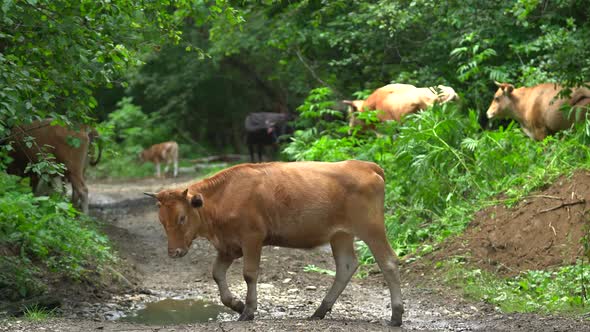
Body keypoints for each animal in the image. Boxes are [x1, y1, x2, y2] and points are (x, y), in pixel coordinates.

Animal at [147, 161, 408, 326]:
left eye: (182, 217)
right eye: (161, 220)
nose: (174, 251)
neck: (222, 197)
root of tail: (364, 165)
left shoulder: (252, 237)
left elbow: (249, 274)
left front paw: (248, 311)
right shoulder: (228, 246)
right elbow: (216, 274)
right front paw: (237, 304)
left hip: (371, 228)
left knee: (388, 261)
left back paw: (396, 316)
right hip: (340, 234)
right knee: (346, 266)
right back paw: (320, 310)